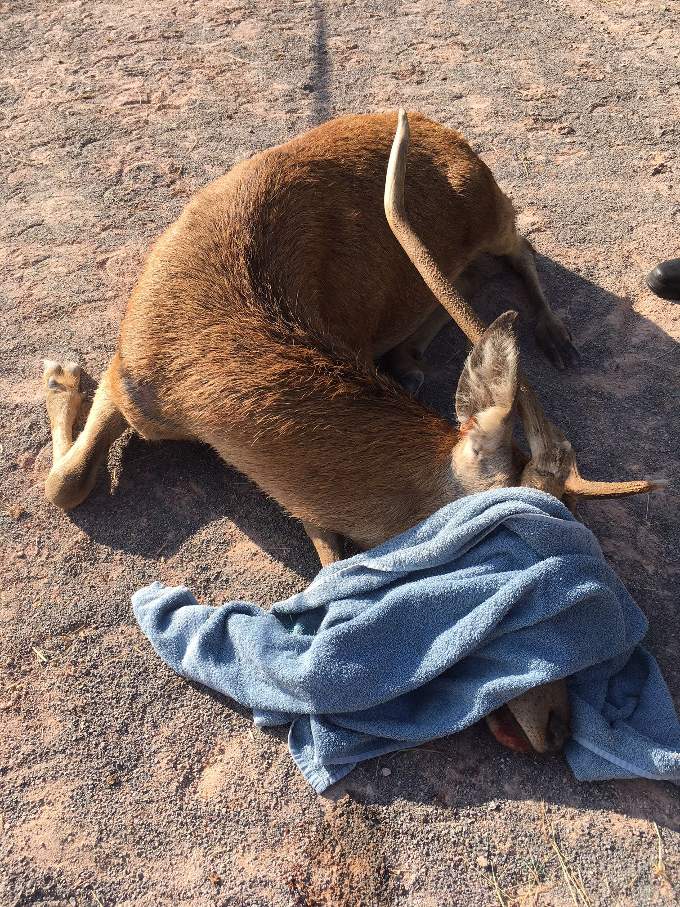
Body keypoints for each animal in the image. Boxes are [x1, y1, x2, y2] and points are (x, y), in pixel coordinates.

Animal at [42, 110, 659, 756]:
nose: (560, 729)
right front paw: (62, 376)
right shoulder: (126, 375)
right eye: (501, 543)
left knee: (515, 248)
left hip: (491, 211)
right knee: (498, 260)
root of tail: (446, 134)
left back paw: (545, 340)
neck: (194, 378)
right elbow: (66, 484)